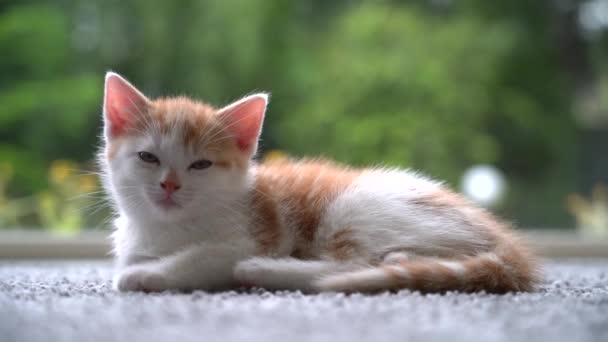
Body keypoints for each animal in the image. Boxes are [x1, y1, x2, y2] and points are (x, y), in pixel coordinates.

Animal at [102, 72, 540, 294]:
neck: (167, 229)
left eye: (201, 165)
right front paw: (143, 265)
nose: (170, 186)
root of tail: (502, 236)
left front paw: (148, 275)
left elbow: (202, 258)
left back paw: (263, 270)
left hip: (354, 209)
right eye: (148, 157)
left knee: (350, 266)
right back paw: (402, 260)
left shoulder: (250, 236)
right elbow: (137, 256)